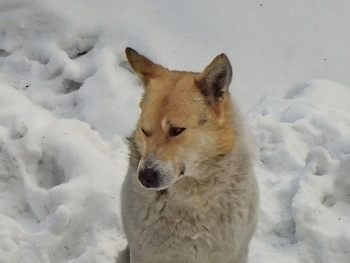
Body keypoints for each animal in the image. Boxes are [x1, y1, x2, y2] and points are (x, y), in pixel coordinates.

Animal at [121, 48, 258, 263]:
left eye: (176, 130)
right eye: (145, 131)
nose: (145, 176)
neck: (192, 199)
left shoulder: (235, 254)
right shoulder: (144, 255)